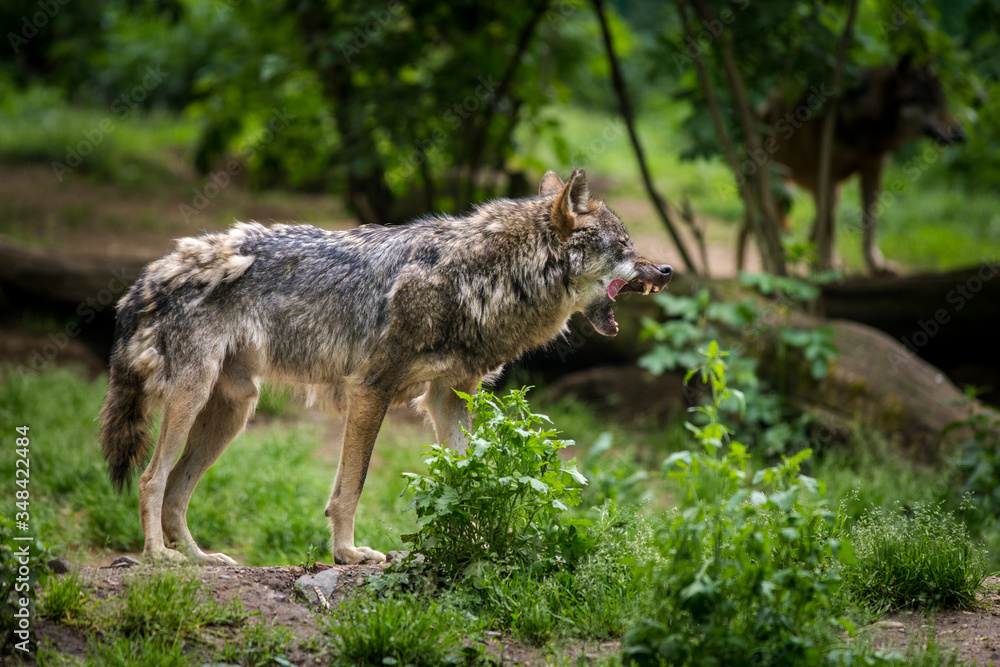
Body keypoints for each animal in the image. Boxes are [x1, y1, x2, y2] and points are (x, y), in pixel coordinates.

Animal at [99, 169, 672, 566]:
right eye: (625, 246)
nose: (666, 269)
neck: (486, 277)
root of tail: (149, 275)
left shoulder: (448, 397)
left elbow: (470, 477)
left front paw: (483, 544)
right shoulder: (371, 389)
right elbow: (351, 488)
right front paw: (349, 555)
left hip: (234, 412)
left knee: (176, 492)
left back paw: (200, 561)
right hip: (192, 400)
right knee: (152, 479)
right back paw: (159, 558)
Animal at [737, 55, 965, 274]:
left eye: (943, 102)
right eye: (929, 102)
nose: (961, 134)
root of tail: (761, 108)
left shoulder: (872, 173)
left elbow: (869, 223)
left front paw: (876, 265)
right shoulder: (828, 175)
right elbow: (829, 228)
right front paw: (827, 265)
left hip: (818, 192)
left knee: (798, 229)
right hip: (774, 192)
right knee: (757, 231)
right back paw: (760, 269)